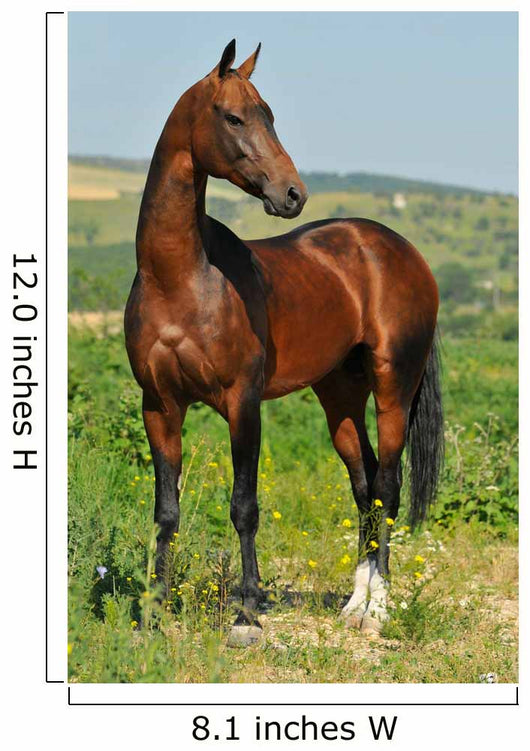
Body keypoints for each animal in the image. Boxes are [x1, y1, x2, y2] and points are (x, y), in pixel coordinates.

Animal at [125, 39, 444, 646]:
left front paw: (248, 616)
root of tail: (398, 249)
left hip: (393, 387)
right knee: (364, 486)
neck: (181, 278)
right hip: (340, 396)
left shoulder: (242, 402)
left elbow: (244, 506)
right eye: (233, 117)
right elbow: (164, 511)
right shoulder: (160, 405)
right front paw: (153, 614)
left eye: (268, 115)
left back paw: (378, 611)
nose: (292, 194)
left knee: (387, 487)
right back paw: (353, 604)